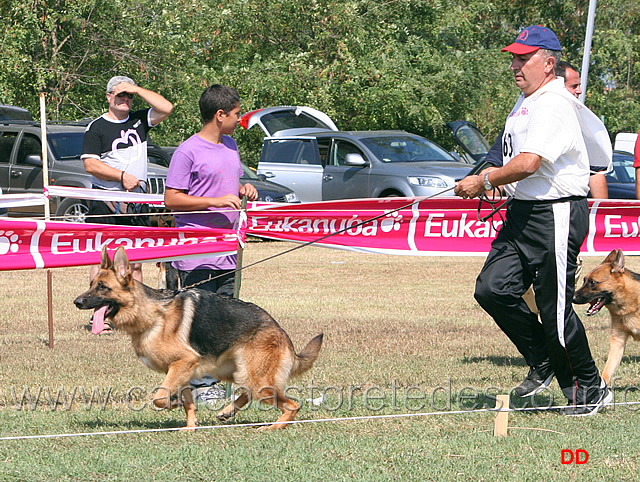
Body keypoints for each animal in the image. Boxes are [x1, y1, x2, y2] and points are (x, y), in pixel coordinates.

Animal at [75, 247, 324, 432]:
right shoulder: (182, 369)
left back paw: (273, 427)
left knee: (292, 404)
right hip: (237, 372)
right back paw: (227, 411)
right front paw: (190, 426)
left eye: (103, 287)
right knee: (248, 392)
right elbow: (188, 402)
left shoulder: (183, 363)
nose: (76, 302)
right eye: (91, 284)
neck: (150, 313)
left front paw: (172, 402)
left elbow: (159, 397)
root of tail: (279, 330)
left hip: (257, 380)